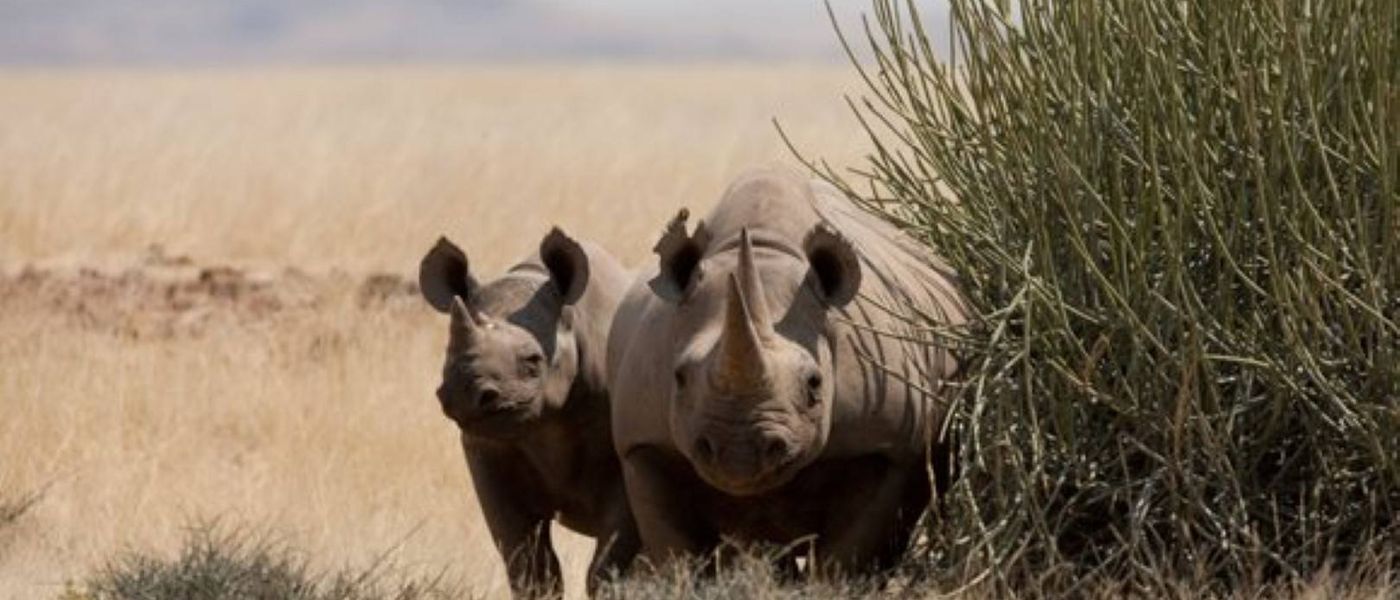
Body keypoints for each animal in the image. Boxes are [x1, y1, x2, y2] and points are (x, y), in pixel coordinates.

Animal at [418, 228, 638, 597]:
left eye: (533, 361)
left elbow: (610, 566)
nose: (466, 395)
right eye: (449, 355)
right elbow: (528, 562)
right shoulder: (489, 450)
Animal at [607, 167, 967, 576]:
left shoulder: (883, 446)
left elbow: (846, 556)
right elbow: (678, 551)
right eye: (679, 378)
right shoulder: (643, 444)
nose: (739, 453)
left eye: (814, 383)